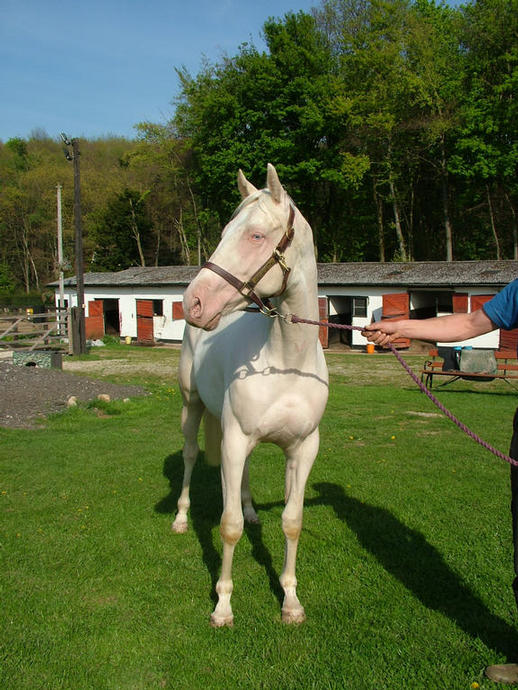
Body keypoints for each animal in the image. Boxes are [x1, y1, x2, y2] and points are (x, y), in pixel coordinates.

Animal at [174, 161, 330, 624]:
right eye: (226, 231)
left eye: (256, 235)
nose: (193, 302)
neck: (286, 362)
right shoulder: (235, 439)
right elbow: (229, 527)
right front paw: (223, 605)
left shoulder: (303, 448)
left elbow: (292, 521)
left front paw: (291, 601)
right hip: (192, 408)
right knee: (190, 456)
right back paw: (180, 518)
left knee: (241, 480)